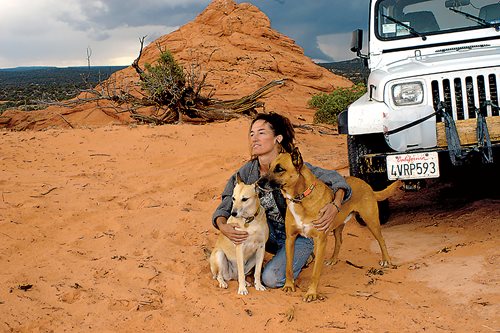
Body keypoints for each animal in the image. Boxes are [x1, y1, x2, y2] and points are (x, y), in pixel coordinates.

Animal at [260, 146, 400, 300]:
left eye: (280, 169)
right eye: (269, 166)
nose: (258, 183)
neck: (301, 198)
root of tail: (367, 186)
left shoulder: (320, 241)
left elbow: (315, 273)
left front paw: (311, 293)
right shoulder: (290, 239)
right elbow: (288, 267)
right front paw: (289, 285)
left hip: (371, 221)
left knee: (381, 240)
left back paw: (386, 260)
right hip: (337, 225)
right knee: (339, 241)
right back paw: (333, 259)